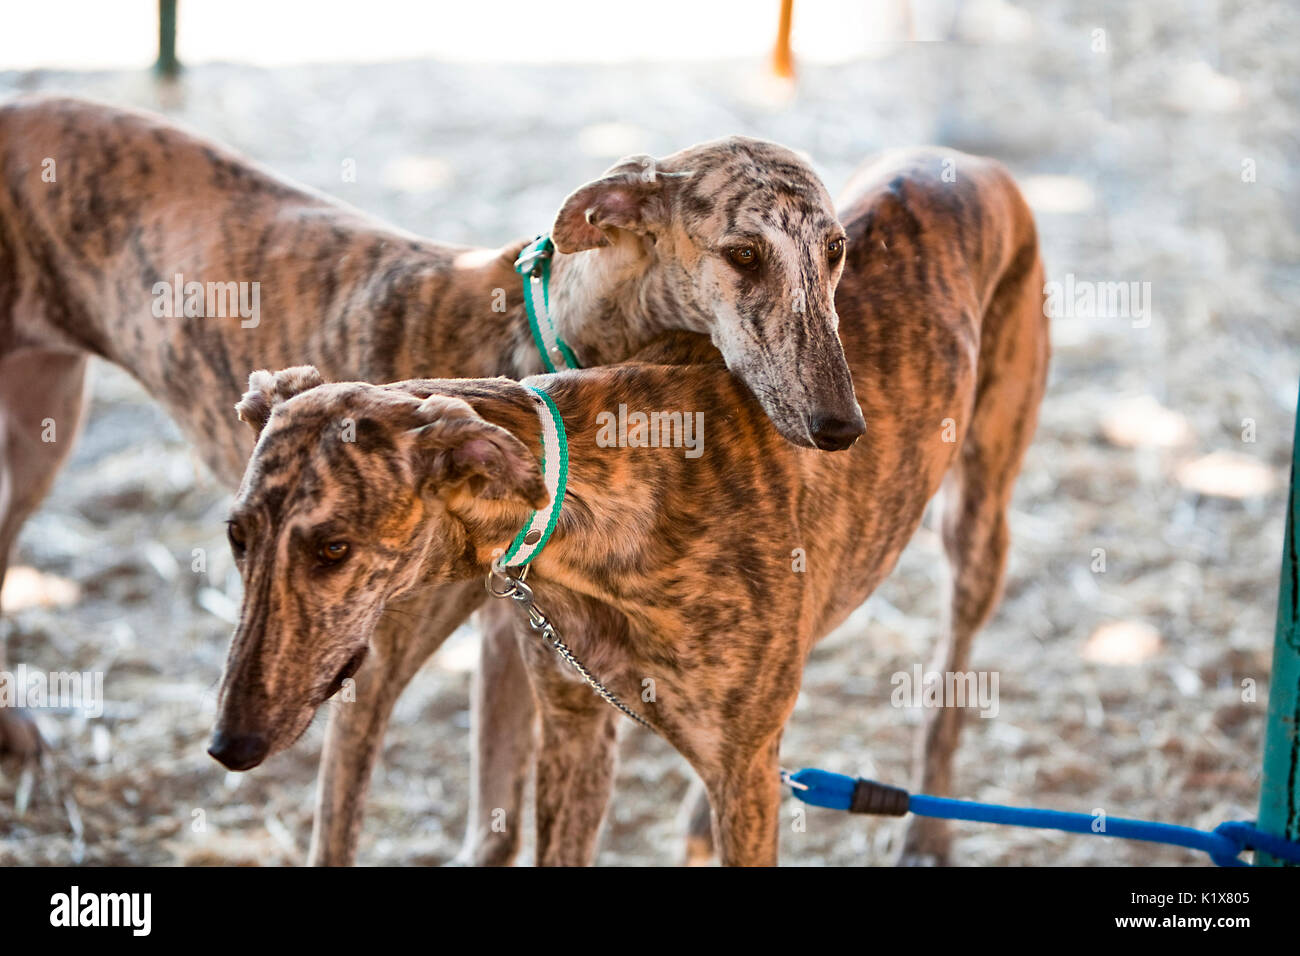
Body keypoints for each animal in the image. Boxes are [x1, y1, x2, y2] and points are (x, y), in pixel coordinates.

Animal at [0, 100, 863, 863]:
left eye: (837, 252)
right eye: (743, 255)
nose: (842, 427)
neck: (540, 340)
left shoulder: (511, 634)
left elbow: (499, 826)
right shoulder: (365, 664)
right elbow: (338, 833)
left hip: (42, 431)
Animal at [210, 151, 1045, 868]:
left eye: (333, 549)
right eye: (235, 537)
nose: (227, 746)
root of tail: (969, 161)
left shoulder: (738, 767)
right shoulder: (576, 723)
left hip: (977, 523)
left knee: (949, 677)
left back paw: (927, 830)